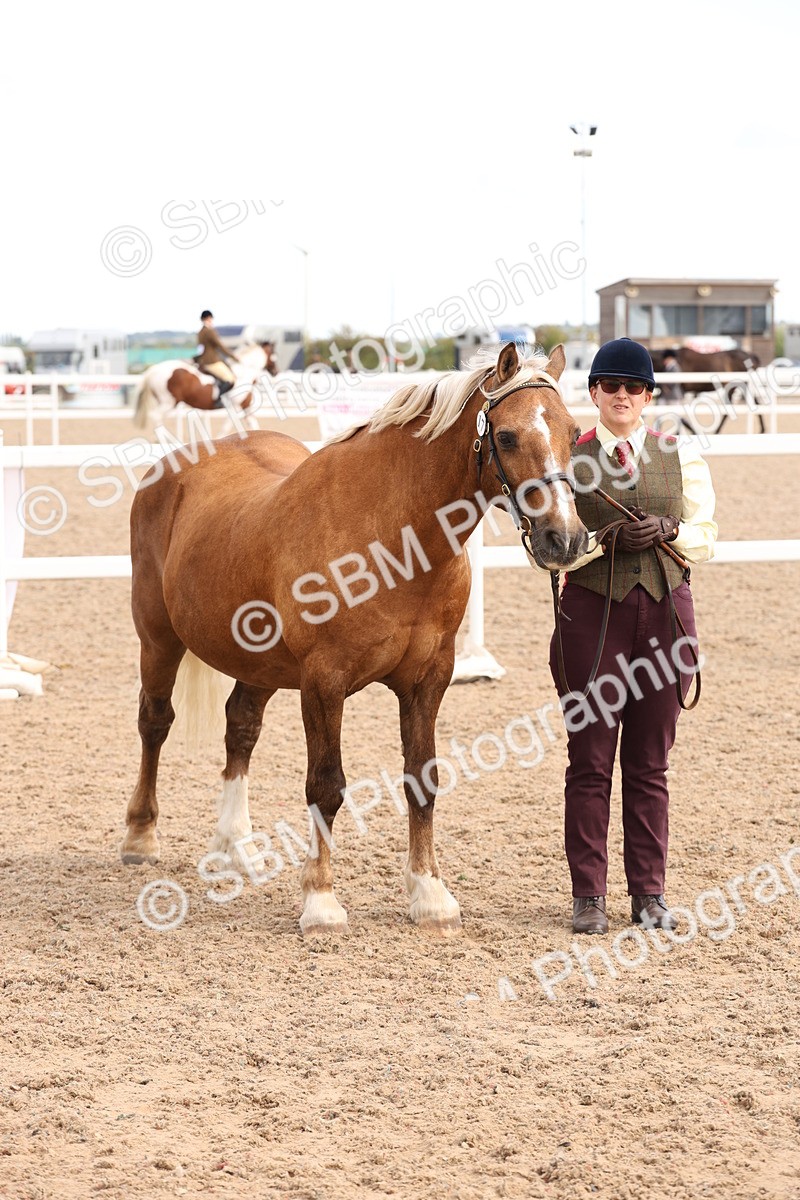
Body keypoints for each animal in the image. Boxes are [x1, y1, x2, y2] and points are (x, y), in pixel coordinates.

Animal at [132, 343, 273, 428]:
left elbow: (253, 424)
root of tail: (154, 369)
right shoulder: (235, 407)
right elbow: (228, 426)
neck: (244, 372)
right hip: (169, 401)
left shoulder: (245, 406)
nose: (275, 371)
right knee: (156, 416)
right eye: (273, 354)